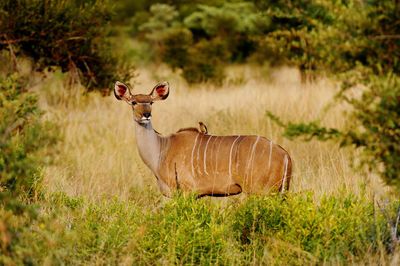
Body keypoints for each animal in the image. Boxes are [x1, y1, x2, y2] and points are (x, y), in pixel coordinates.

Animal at [114, 81, 292, 197]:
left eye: (151, 102)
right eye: (133, 102)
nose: (146, 115)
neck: (161, 149)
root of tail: (285, 155)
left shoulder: (188, 192)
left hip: (260, 192)